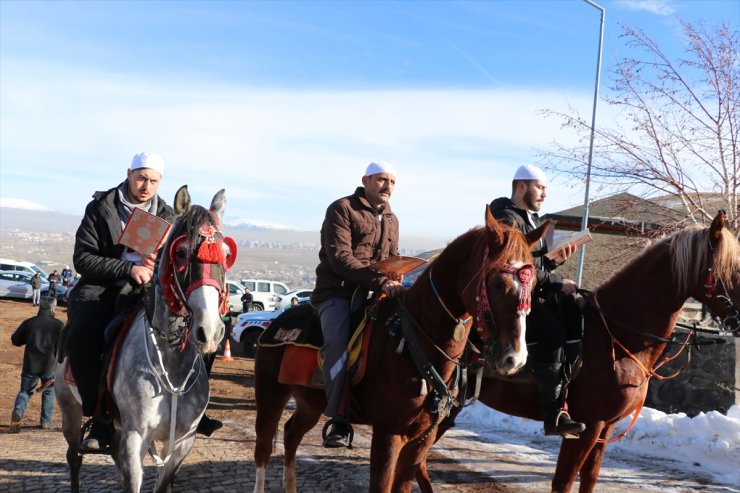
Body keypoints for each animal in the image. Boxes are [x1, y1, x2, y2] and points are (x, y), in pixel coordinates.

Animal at [55, 185, 234, 492]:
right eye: (182, 252)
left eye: (224, 253)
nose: (210, 331)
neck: (173, 365)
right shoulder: (135, 437)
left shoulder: (182, 443)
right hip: (70, 409)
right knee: (74, 456)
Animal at [251, 208, 548, 492]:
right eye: (498, 283)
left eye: (533, 285)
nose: (514, 358)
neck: (414, 342)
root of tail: (274, 322)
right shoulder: (388, 434)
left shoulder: (422, 440)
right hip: (271, 396)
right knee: (263, 449)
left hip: (310, 404)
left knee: (291, 434)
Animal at [420, 210, 736, 492]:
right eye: (733, 268)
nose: (738, 322)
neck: (617, 335)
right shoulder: (588, 426)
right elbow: (564, 481)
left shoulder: (605, 428)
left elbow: (590, 479)